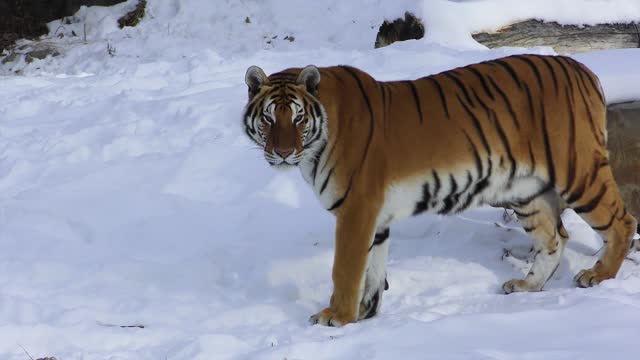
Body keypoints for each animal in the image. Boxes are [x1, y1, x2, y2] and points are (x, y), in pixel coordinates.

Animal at [241, 54, 640, 328]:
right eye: (268, 119)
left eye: (298, 118)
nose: (283, 152)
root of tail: (582, 68)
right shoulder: (376, 218)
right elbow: (372, 271)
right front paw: (365, 316)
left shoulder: (356, 209)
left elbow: (346, 268)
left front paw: (336, 316)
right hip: (524, 190)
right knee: (555, 237)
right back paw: (526, 285)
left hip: (578, 172)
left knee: (621, 221)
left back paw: (597, 276)